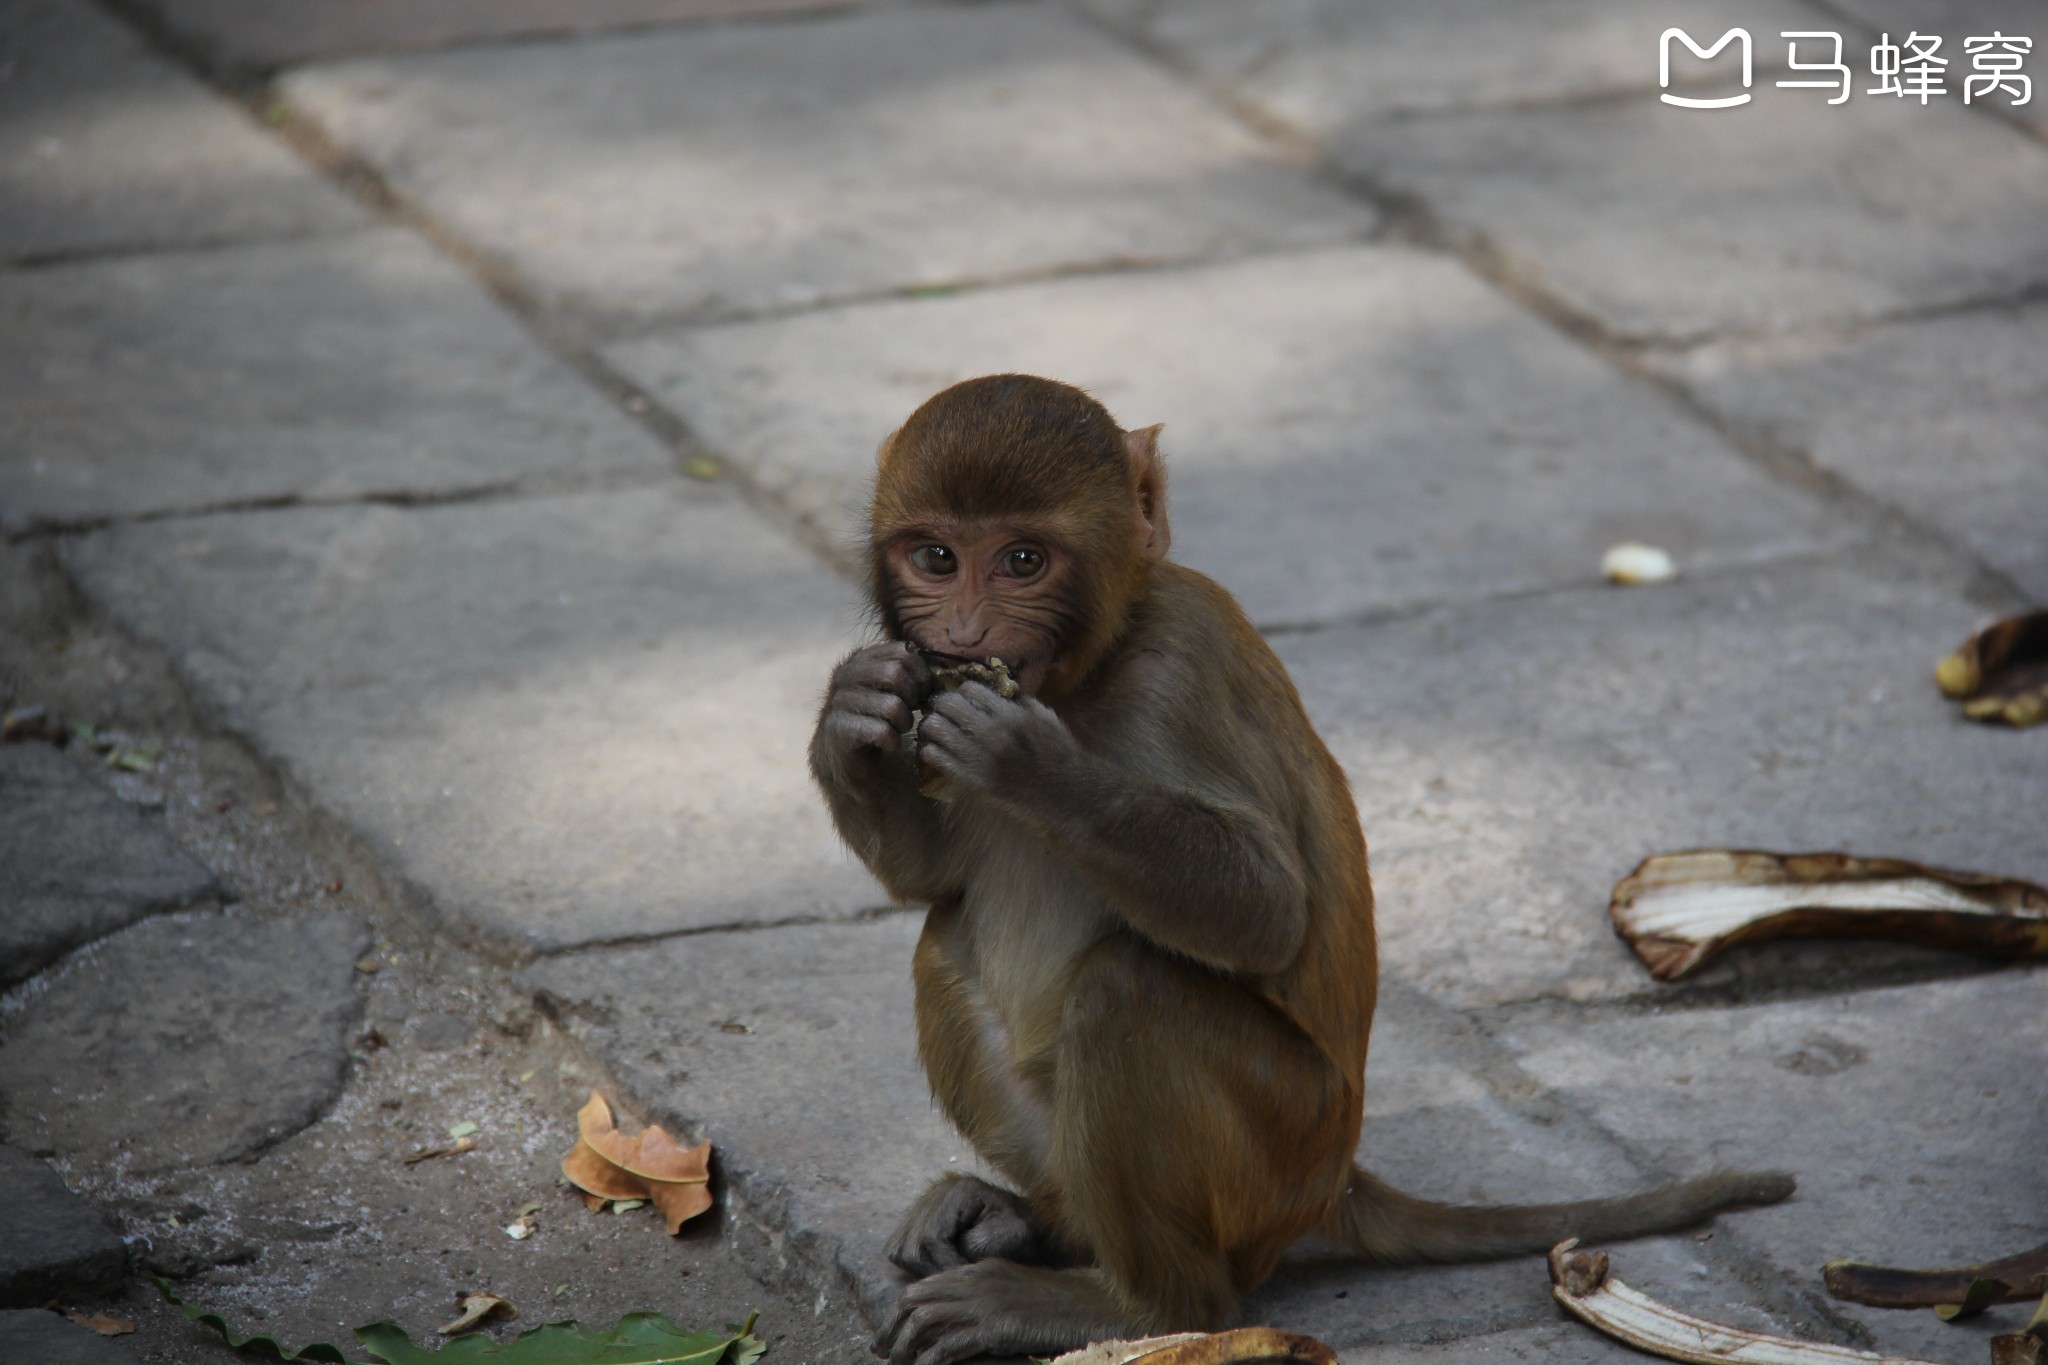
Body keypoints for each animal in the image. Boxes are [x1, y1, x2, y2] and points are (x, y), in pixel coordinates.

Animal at [806, 374, 1785, 1365]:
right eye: (937, 556)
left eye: (1021, 559)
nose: (964, 628)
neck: (1088, 675)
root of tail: (1335, 1183)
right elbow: (932, 877)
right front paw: (851, 716)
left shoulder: (1180, 667)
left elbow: (1267, 909)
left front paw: (1032, 766)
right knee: (948, 936)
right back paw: (1029, 1222)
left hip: (1277, 1153)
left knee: (1131, 990)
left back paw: (1136, 1305)